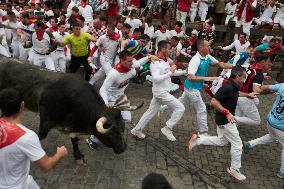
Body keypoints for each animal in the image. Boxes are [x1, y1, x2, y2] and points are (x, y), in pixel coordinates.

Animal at [0, 56, 128, 160]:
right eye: (111, 133)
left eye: (122, 129)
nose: (123, 148)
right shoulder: (45, 118)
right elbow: (40, 136)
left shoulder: (73, 128)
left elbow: (74, 141)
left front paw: (77, 155)